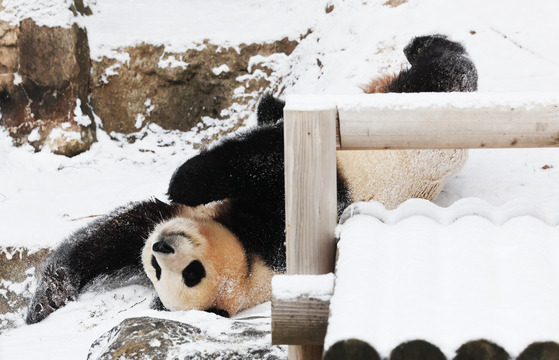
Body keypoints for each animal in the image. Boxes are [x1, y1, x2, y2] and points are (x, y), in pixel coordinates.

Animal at [26, 34, 480, 324]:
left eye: (191, 273)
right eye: (156, 269)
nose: (161, 247)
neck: (249, 260)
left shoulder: (278, 229)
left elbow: (264, 159)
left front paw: (183, 178)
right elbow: (117, 234)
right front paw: (48, 299)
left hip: (416, 117)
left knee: (446, 72)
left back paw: (422, 44)